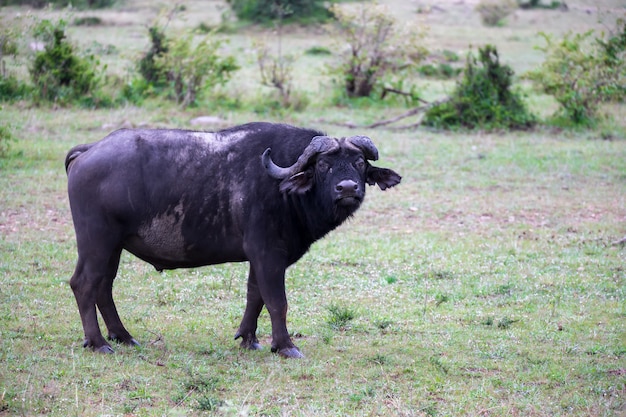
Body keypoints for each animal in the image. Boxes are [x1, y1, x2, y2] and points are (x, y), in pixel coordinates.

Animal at [66, 121, 400, 358]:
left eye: (359, 163)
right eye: (323, 165)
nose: (347, 188)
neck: (282, 189)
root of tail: (89, 151)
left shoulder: (259, 258)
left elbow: (255, 296)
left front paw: (249, 339)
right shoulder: (268, 254)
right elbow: (277, 301)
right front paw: (286, 346)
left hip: (113, 246)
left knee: (104, 287)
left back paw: (123, 336)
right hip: (97, 242)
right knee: (84, 284)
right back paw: (97, 342)